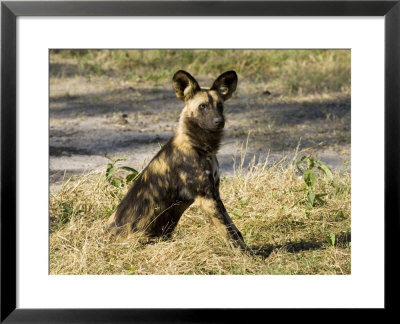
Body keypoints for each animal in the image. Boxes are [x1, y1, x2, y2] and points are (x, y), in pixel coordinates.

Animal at [106, 70, 250, 253]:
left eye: (220, 105)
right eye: (202, 106)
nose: (219, 121)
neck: (200, 146)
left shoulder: (215, 195)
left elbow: (235, 231)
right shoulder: (207, 199)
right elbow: (229, 233)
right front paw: (244, 257)